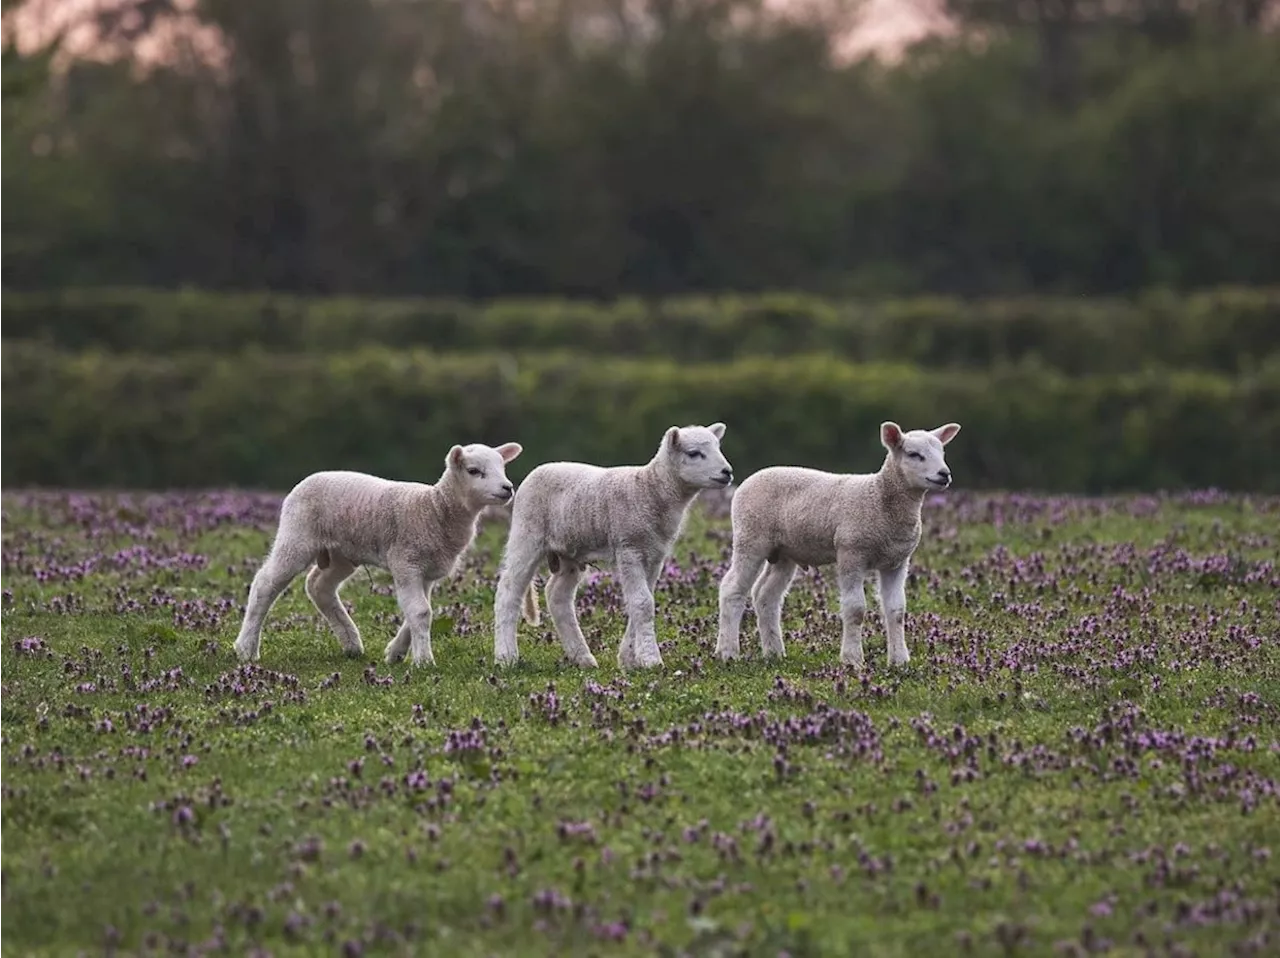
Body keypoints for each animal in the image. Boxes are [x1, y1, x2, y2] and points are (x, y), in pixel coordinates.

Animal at [232, 440, 532, 665]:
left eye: (502, 467)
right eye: (474, 470)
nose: (507, 488)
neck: (436, 508)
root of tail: (307, 479)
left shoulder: (427, 571)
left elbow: (418, 611)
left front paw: (396, 653)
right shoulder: (406, 561)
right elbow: (420, 612)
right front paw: (424, 661)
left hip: (341, 553)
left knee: (319, 586)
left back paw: (351, 643)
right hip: (297, 536)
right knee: (265, 583)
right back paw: (246, 648)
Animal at [488, 422, 732, 671]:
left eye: (718, 447)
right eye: (694, 453)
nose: (727, 472)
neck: (650, 489)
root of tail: (538, 470)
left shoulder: (655, 555)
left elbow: (641, 601)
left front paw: (629, 658)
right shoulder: (629, 548)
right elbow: (643, 603)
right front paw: (651, 659)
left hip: (570, 551)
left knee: (557, 595)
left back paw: (582, 657)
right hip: (527, 534)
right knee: (508, 590)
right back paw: (506, 657)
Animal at [711, 422, 962, 671]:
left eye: (942, 453)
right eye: (914, 454)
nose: (945, 474)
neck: (880, 497)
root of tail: (749, 480)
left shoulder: (897, 561)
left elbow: (897, 611)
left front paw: (900, 661)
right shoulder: (851, 552)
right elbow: (855, 610)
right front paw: (852, 660)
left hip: (783, 552)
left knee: (766, 595)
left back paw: (774, 653)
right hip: (750, 537)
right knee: (732, 589)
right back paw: (727, 653)